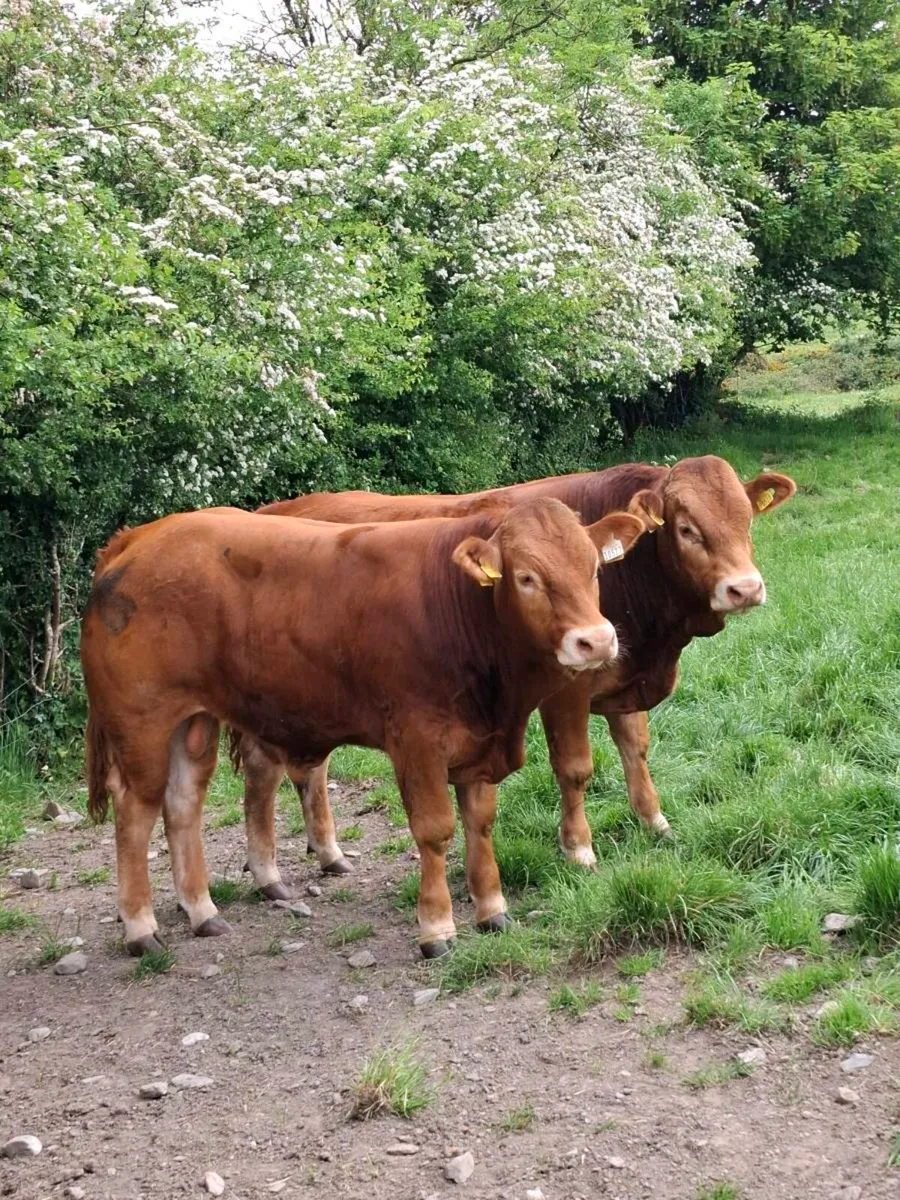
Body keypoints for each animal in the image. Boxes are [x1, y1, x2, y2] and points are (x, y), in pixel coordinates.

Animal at [81, 498, 646, 958]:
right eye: (526, 576)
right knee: (135, 812)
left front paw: (492, 911)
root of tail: (140, 536)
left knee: (183, 804)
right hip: (142, 723)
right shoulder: (417, 741)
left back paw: (203, 912)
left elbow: (480, 822)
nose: (596, 641)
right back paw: (141, 929)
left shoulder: (477, 743)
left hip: (193, 722)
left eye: (594, 567)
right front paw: (436, 929)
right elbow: (435, 830)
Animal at [233, 455, 795, 897]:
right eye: (686, 529)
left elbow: (635, 748)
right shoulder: (568, 688)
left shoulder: (623, 676)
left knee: (309, 768)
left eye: (747, 521)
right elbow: (575, 767)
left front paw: (654, 821)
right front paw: (579, 849)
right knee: (266, 771)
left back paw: (328, 852)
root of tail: (269, 511)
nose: (745, 588)